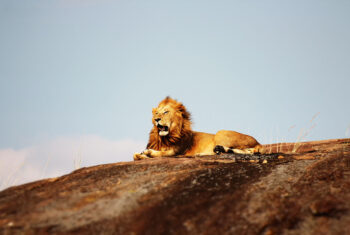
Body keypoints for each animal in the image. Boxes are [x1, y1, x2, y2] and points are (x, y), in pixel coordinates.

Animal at [133, 96, 262, 161]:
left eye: (165, 112)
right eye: (156, 113)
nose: (157, 119)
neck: (165, 138)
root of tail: (258, 142)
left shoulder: (176, 151)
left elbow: (162, 153)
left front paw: (148, 152)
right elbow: (135, 156)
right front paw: (141, 155)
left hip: (220, 132)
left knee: (250, 151)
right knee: (249, 151)